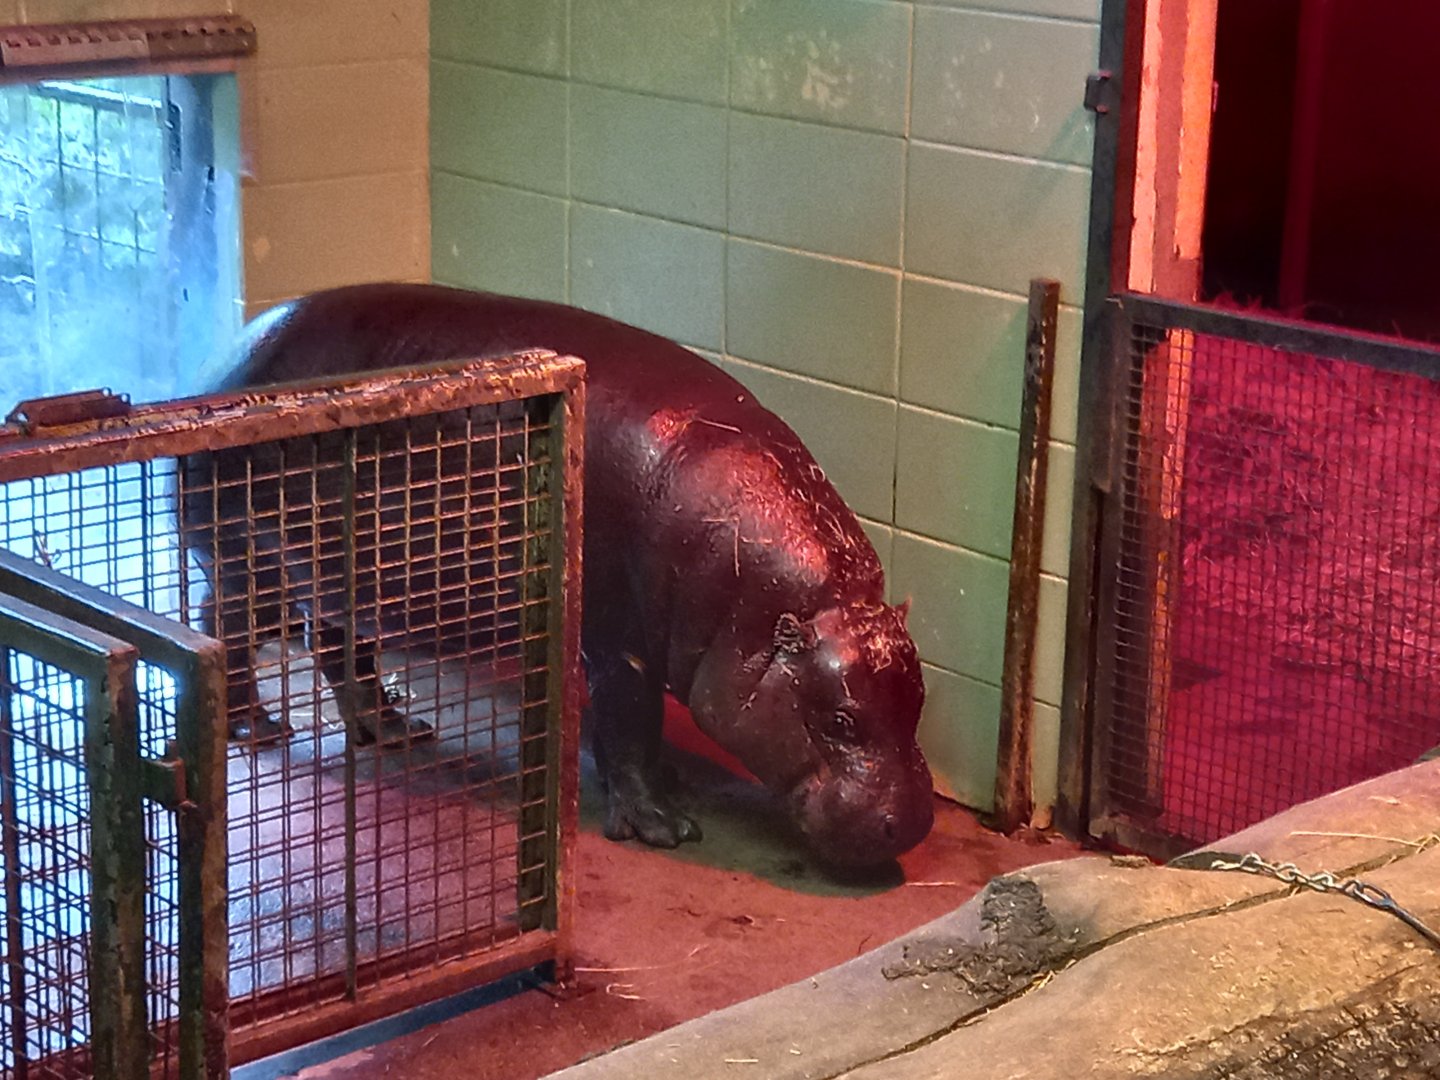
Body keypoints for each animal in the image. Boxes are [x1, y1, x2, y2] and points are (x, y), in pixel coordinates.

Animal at [192, 283, 934, 867]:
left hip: (339, 582)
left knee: (337, 647)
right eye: (839, 720)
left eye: (918, 701)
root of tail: (222, 361)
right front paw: (664, 827)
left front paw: (670, 782)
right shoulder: (620, 641)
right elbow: (629, 722)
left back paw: (399, 730)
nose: (915, 826)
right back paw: (261, 731)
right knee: (223, 630)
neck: (751, 607)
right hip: (244, 561)